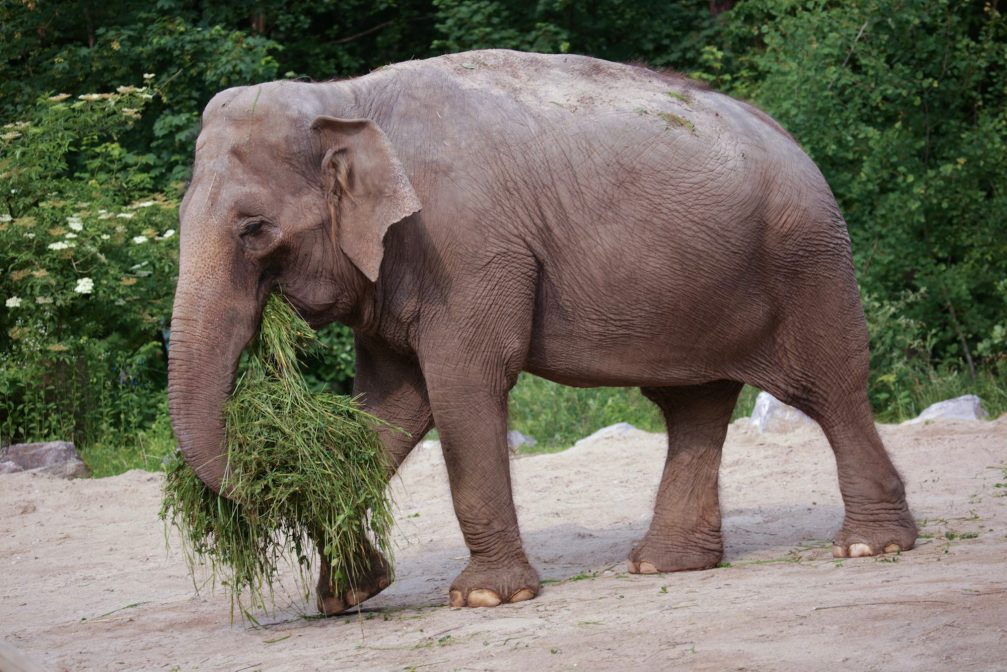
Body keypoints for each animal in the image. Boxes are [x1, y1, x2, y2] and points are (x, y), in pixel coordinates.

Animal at [169, 47, 918, 616]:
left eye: (254, 229)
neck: (344, 96)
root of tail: (795, 141)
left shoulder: (467, 248)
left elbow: (463, 386)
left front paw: (484, 600)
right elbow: (389, 409)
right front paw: (349, 596)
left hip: (807, 260)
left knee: (829, 390)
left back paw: (869, 547)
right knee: (693, 405)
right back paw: (664, 566)